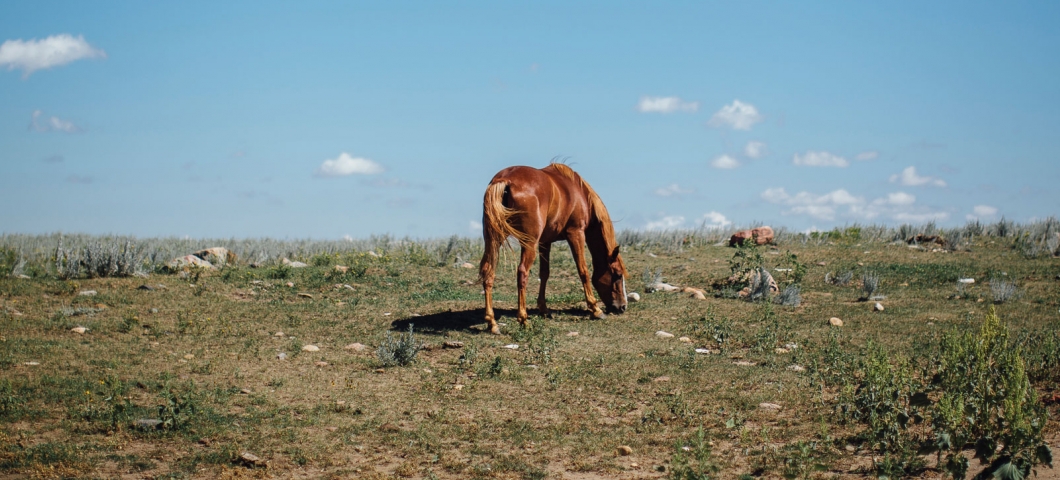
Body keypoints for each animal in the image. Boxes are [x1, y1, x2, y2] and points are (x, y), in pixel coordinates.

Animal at [476, 163, 623, 334]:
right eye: (618, 274)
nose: (622, 307)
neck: (579, 192)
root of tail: (505, 180)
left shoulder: (545, 242)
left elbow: (544, 273)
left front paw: (544, 309)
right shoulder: (576, 233)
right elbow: (583, 270)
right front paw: (595, 309)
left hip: (494, 240)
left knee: (488, 272)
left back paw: (492, 323)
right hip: (529, 243)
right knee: (522, 273)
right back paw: (523, 319)